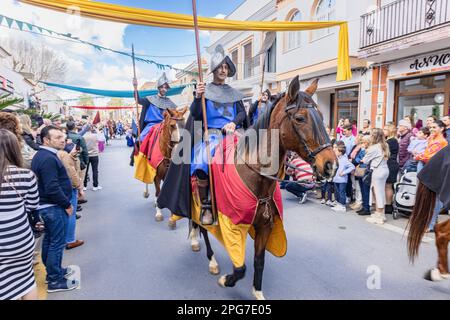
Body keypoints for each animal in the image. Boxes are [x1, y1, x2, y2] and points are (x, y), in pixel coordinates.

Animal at [191, 75, 338, 300]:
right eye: (300, 118)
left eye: (321, 115)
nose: (331, 165)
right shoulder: (234, 225)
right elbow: (240, 267)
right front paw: (226, 280)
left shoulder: (265, 226)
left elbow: (259, 261)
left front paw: (257, 291)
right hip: (199, 204)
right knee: (202, 228)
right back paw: (210, 259)